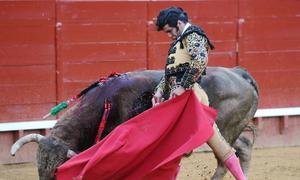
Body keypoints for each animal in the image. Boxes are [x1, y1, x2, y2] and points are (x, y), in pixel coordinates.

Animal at [9, 67, 258, 179]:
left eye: (56, 172)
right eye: (39, 168)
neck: (105, 103)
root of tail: (240, 73)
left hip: (224, 129)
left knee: (226, 158)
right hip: (228, 129)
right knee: (243, 147)